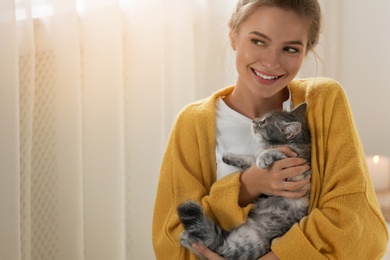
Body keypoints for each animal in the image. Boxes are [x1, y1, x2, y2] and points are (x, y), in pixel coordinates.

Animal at [177, 102, 310, 258]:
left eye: (263, 122)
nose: (254, 120)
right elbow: (248, 160)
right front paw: (229, 157)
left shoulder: (297, 173)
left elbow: (271, 153)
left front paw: (263, 158)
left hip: (247, 242)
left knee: (217, 248)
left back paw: (190, 239)